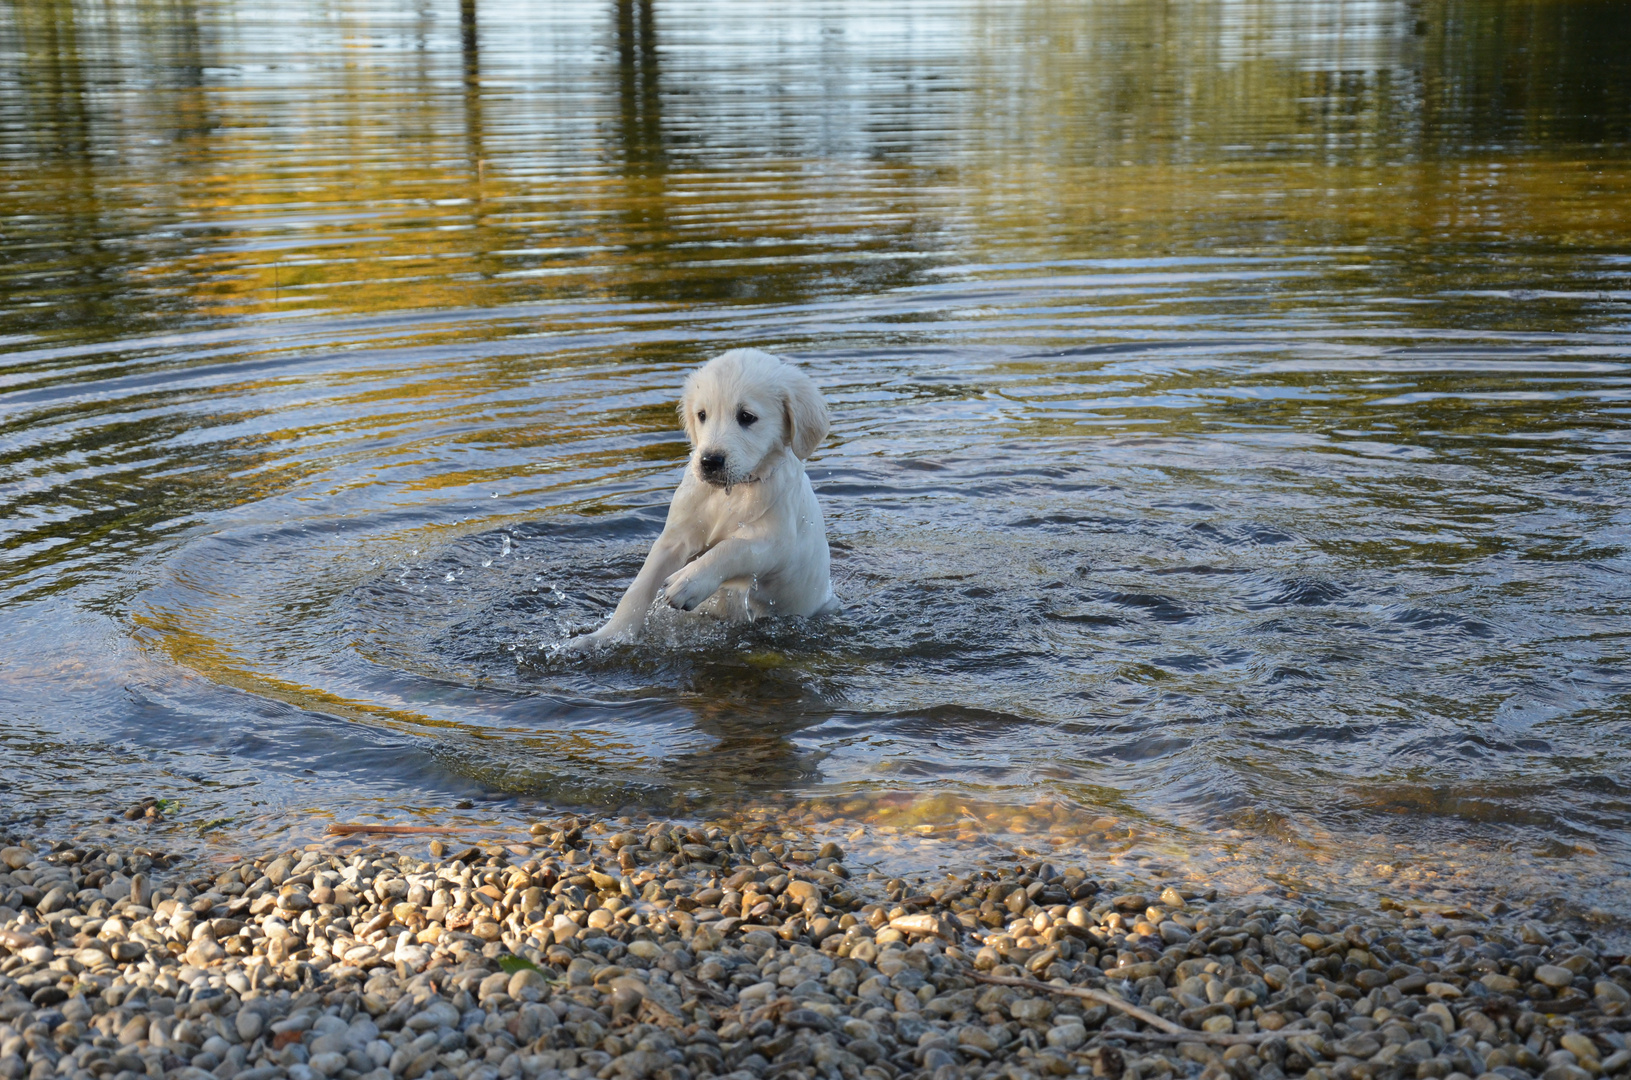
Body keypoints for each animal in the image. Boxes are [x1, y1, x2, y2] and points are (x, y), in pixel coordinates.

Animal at [577, 350, 835, 646]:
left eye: (746, 416)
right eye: (702, 415)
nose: (709, 461)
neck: (733, 493)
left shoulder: (775, 544)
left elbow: (731, 549)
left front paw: (688, 582)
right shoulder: (675, 537)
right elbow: (639, 585)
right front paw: (608, 635)